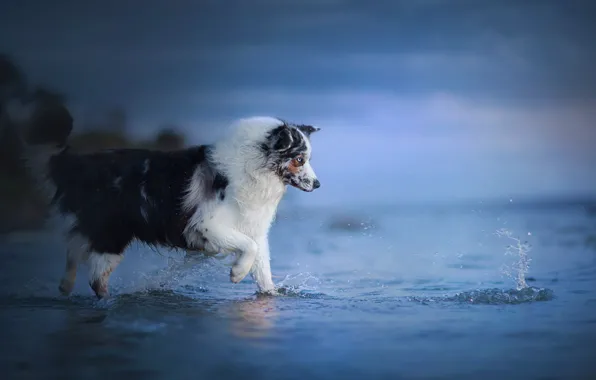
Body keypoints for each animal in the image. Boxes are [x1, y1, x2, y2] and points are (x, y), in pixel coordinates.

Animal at [3, 101, 322, 300]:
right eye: (299, 159)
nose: (318, 184)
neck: (253, 166)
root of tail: (84, 164)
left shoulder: (253, 227)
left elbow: (262, 266)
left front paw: (269, 294)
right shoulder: (207, 224)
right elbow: (249, 249)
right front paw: (235, 274)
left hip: (98, 229)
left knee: (73, 247)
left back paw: (65, 285)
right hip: (113, 236)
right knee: (95, 277)